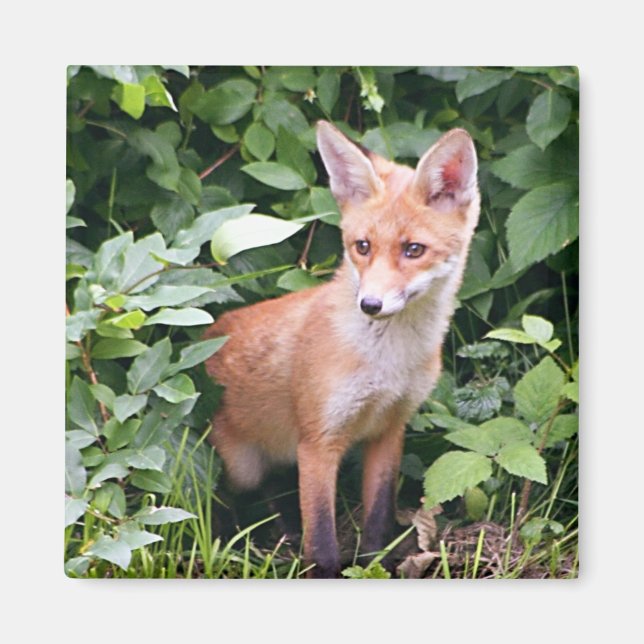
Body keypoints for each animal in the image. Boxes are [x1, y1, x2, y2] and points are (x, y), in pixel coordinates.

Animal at [203, 120, 480, 578]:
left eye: (413, 250)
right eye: (362, 246)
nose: (370, 304)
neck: (386, 364)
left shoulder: (389, 429)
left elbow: (377, 519)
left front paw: (373, 565)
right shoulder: (319, 441)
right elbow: (322, 542)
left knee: (278, 492)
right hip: (244, 466)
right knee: (226, 497)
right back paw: (232, 541)